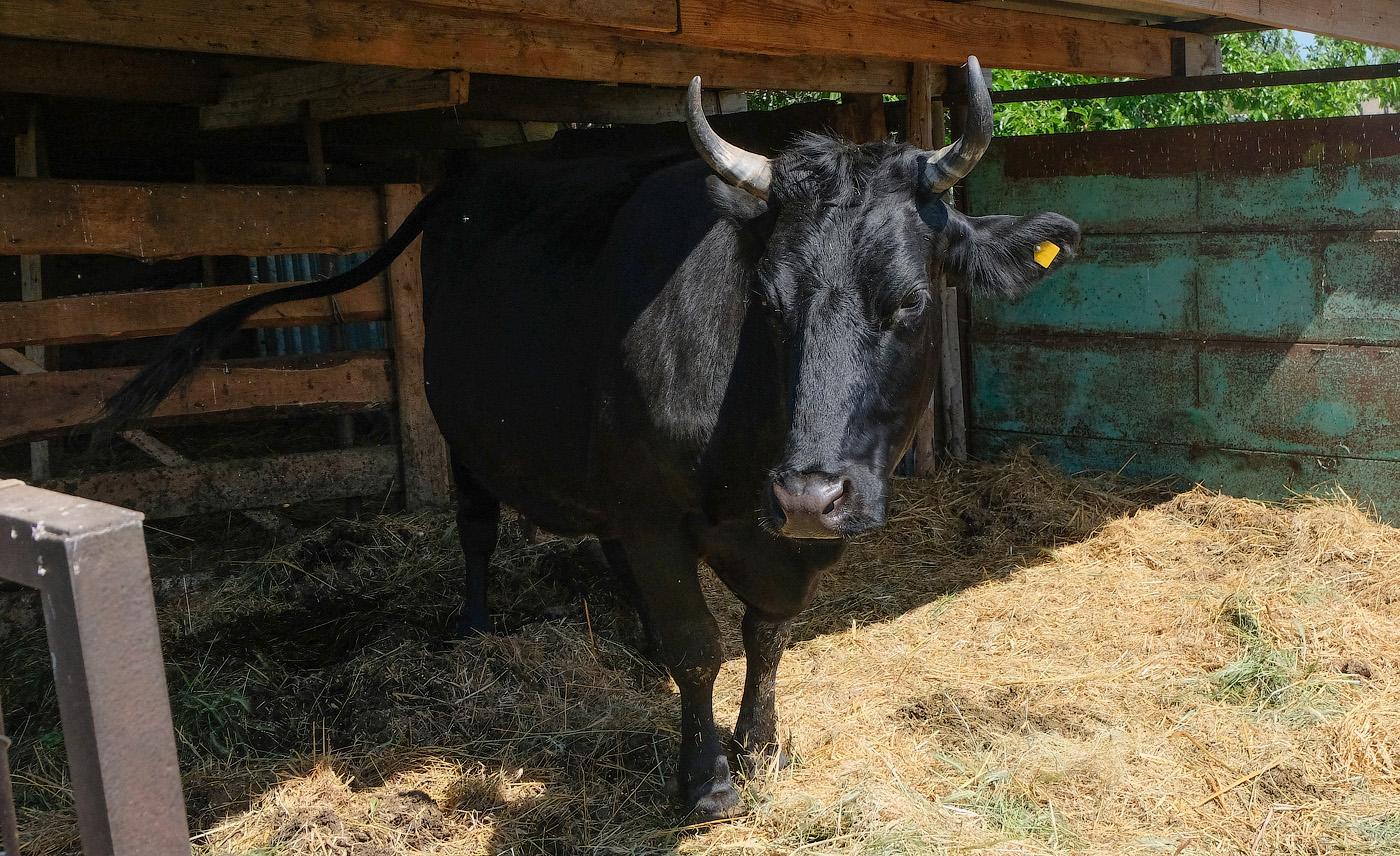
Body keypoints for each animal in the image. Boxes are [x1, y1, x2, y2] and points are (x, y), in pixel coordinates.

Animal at [103, 57, 1075, 818]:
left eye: (907, 301)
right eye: (766, 299)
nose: (810, 494)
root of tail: (472, 172)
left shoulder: (773, 540)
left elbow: (765, 634)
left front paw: (759, 743)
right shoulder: (652, 511)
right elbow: (699, 645)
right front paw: (706, 779)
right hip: (462, 431)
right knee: (477, 528)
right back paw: (473, 622)